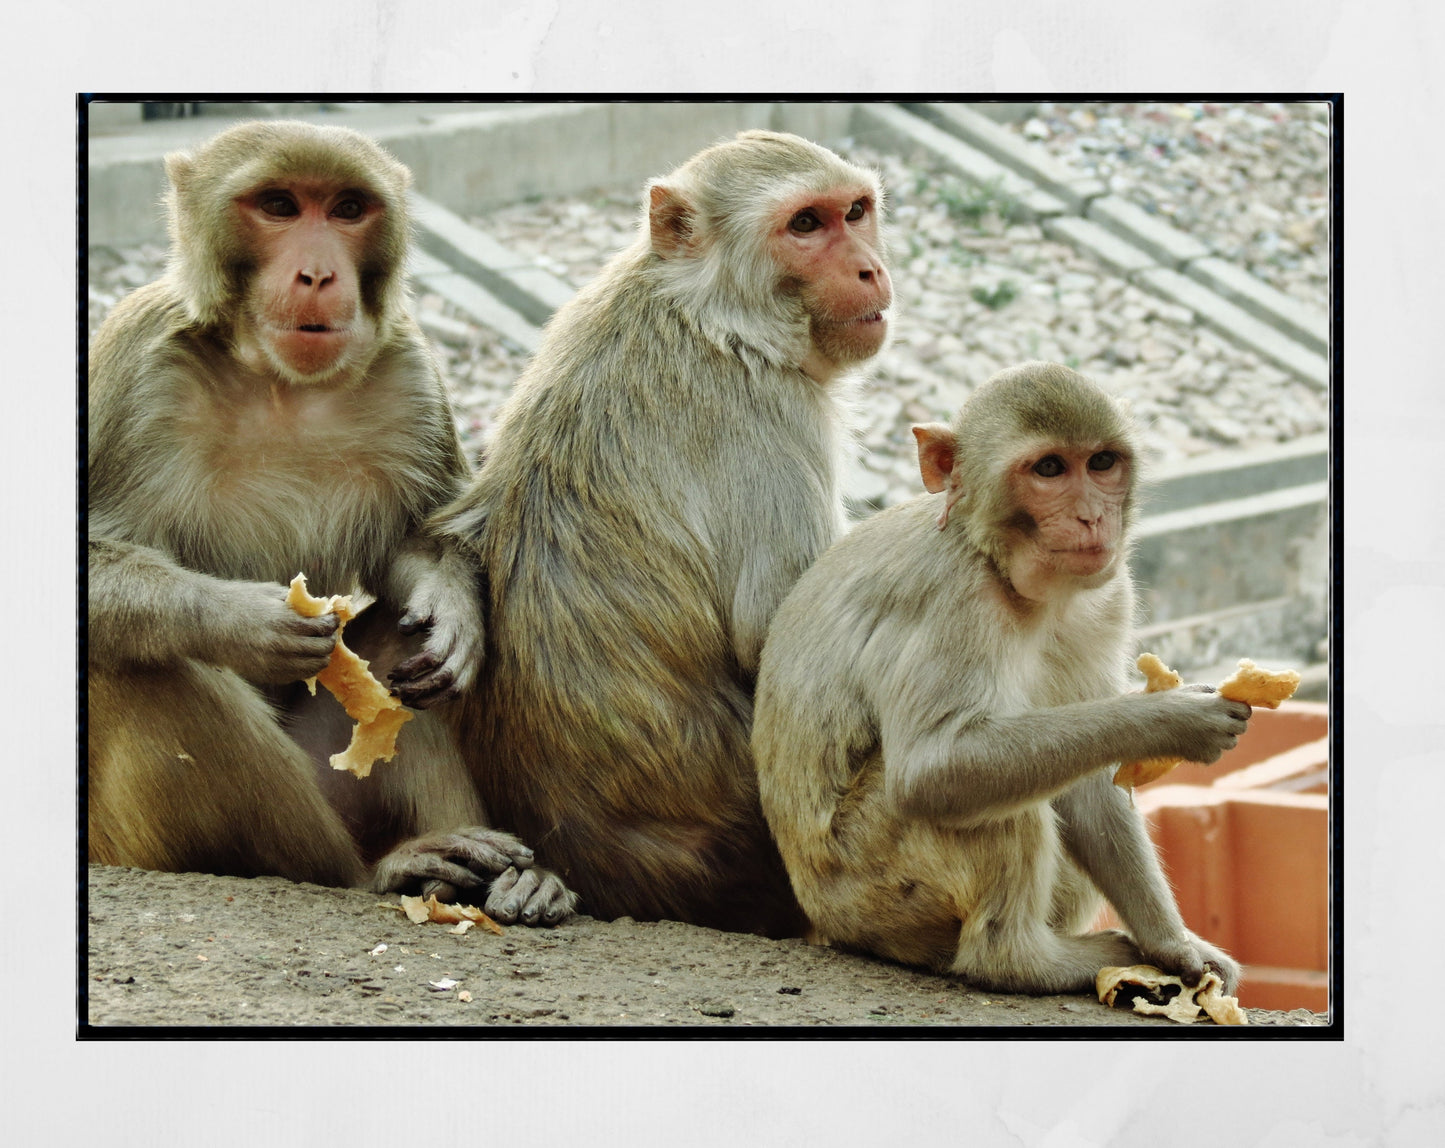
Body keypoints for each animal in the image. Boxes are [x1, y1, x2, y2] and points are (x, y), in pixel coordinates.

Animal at [87, 119, 574, 925]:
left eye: (347, 209)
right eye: (280, 206)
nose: (317, 274)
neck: (279, 383)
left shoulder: (410, 370)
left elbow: (417, 545)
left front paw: (453, 614)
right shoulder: (133, 365)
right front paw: (244, 620)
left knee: (397, 652)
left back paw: (491, 872)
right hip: (133, 837)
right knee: (144, 665)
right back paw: (374, 872)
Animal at [412, 131, 893, 936]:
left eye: (855, 211)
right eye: (805, 224)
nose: (870, 267)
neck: (706, 309)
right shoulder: (776, 413)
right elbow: (779, 641)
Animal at [751, 362, 1250, 994]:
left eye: (1102, 462)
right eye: (1049, 469)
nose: (1092, 516)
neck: (1004, 567)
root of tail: (823, 915)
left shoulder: (1110, 597)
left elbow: (1092, 786)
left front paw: (1174, 946)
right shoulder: (954, 596)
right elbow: (934, 769)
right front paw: (1174, 719)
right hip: (870, 882)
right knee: (982, 796)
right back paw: (1021, 960)